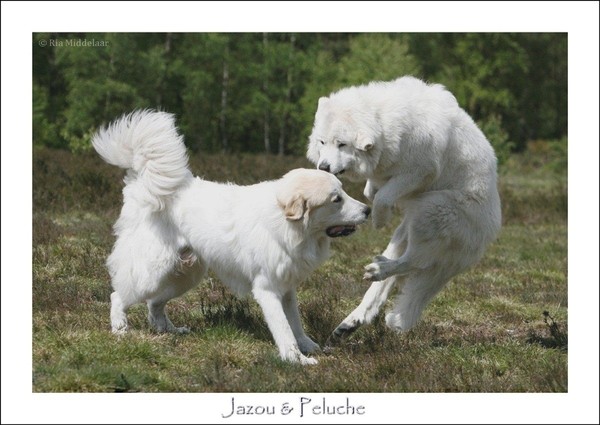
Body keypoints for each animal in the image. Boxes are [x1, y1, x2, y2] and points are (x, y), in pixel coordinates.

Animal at [92, 108, 370, 362]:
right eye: (336, 199)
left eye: (344, 191)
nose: (368, 210)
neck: (286, 225)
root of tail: (143, 182)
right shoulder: (268, 290)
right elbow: (284, 330)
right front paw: (296, 359)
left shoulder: (287, 289)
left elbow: (296, 324)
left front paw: (309, 347)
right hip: (152, 271)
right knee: (119, 295)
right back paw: (120, 329)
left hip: (185, 275)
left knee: (154, 304)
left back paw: (170, 331)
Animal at [310, 77, 502, 342]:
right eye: (322, 142)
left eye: (342, 144)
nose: (323, 167)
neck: (383, 120)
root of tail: (488, 235)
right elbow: (373, 191)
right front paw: (374, 197)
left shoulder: (419, 171)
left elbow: (383, 197)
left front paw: (379, 218)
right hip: (407, 231)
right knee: (382, 288)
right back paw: (352, 320)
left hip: (431, 209)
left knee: (417, 261)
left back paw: (380, 268)